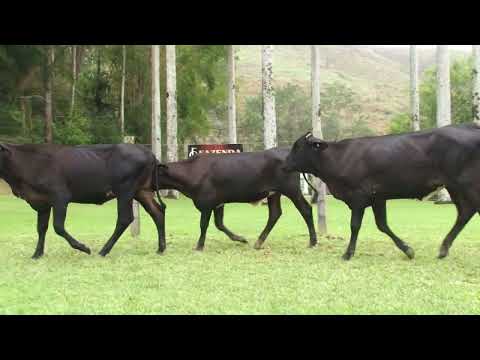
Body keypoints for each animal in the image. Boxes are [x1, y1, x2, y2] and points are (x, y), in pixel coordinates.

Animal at [0, 143, 167, 258]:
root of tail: (147, 152)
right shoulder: (41, 202)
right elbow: (41, 228)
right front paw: (37, 254)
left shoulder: (60, 196)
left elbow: (58, 227)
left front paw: (83, 248)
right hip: (141, 191)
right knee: (157, 212)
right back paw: (161, 248)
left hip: (126, 190)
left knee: (125, 218)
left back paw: (103, 251)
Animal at [156, 148, 316, 252]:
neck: (192, 172)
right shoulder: (218, 203)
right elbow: (219, 224)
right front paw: (240, 239)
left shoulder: (207, 203)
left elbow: (203, 225)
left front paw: (199, 246)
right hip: (274, 193)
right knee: (275, 214)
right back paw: (258, 242)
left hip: (291, 190)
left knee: (305, 209)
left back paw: (313, 241)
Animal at [284, 123, 480, 258]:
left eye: (297, 146)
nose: (284, 163)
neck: (338, 157)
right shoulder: (377, 197)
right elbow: (382, 225)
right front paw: (408, 250)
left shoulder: (359, 196)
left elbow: (355, 225)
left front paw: (348, 253)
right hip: (454, 187)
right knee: (465, 213)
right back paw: (443, 249)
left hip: (466, 185)